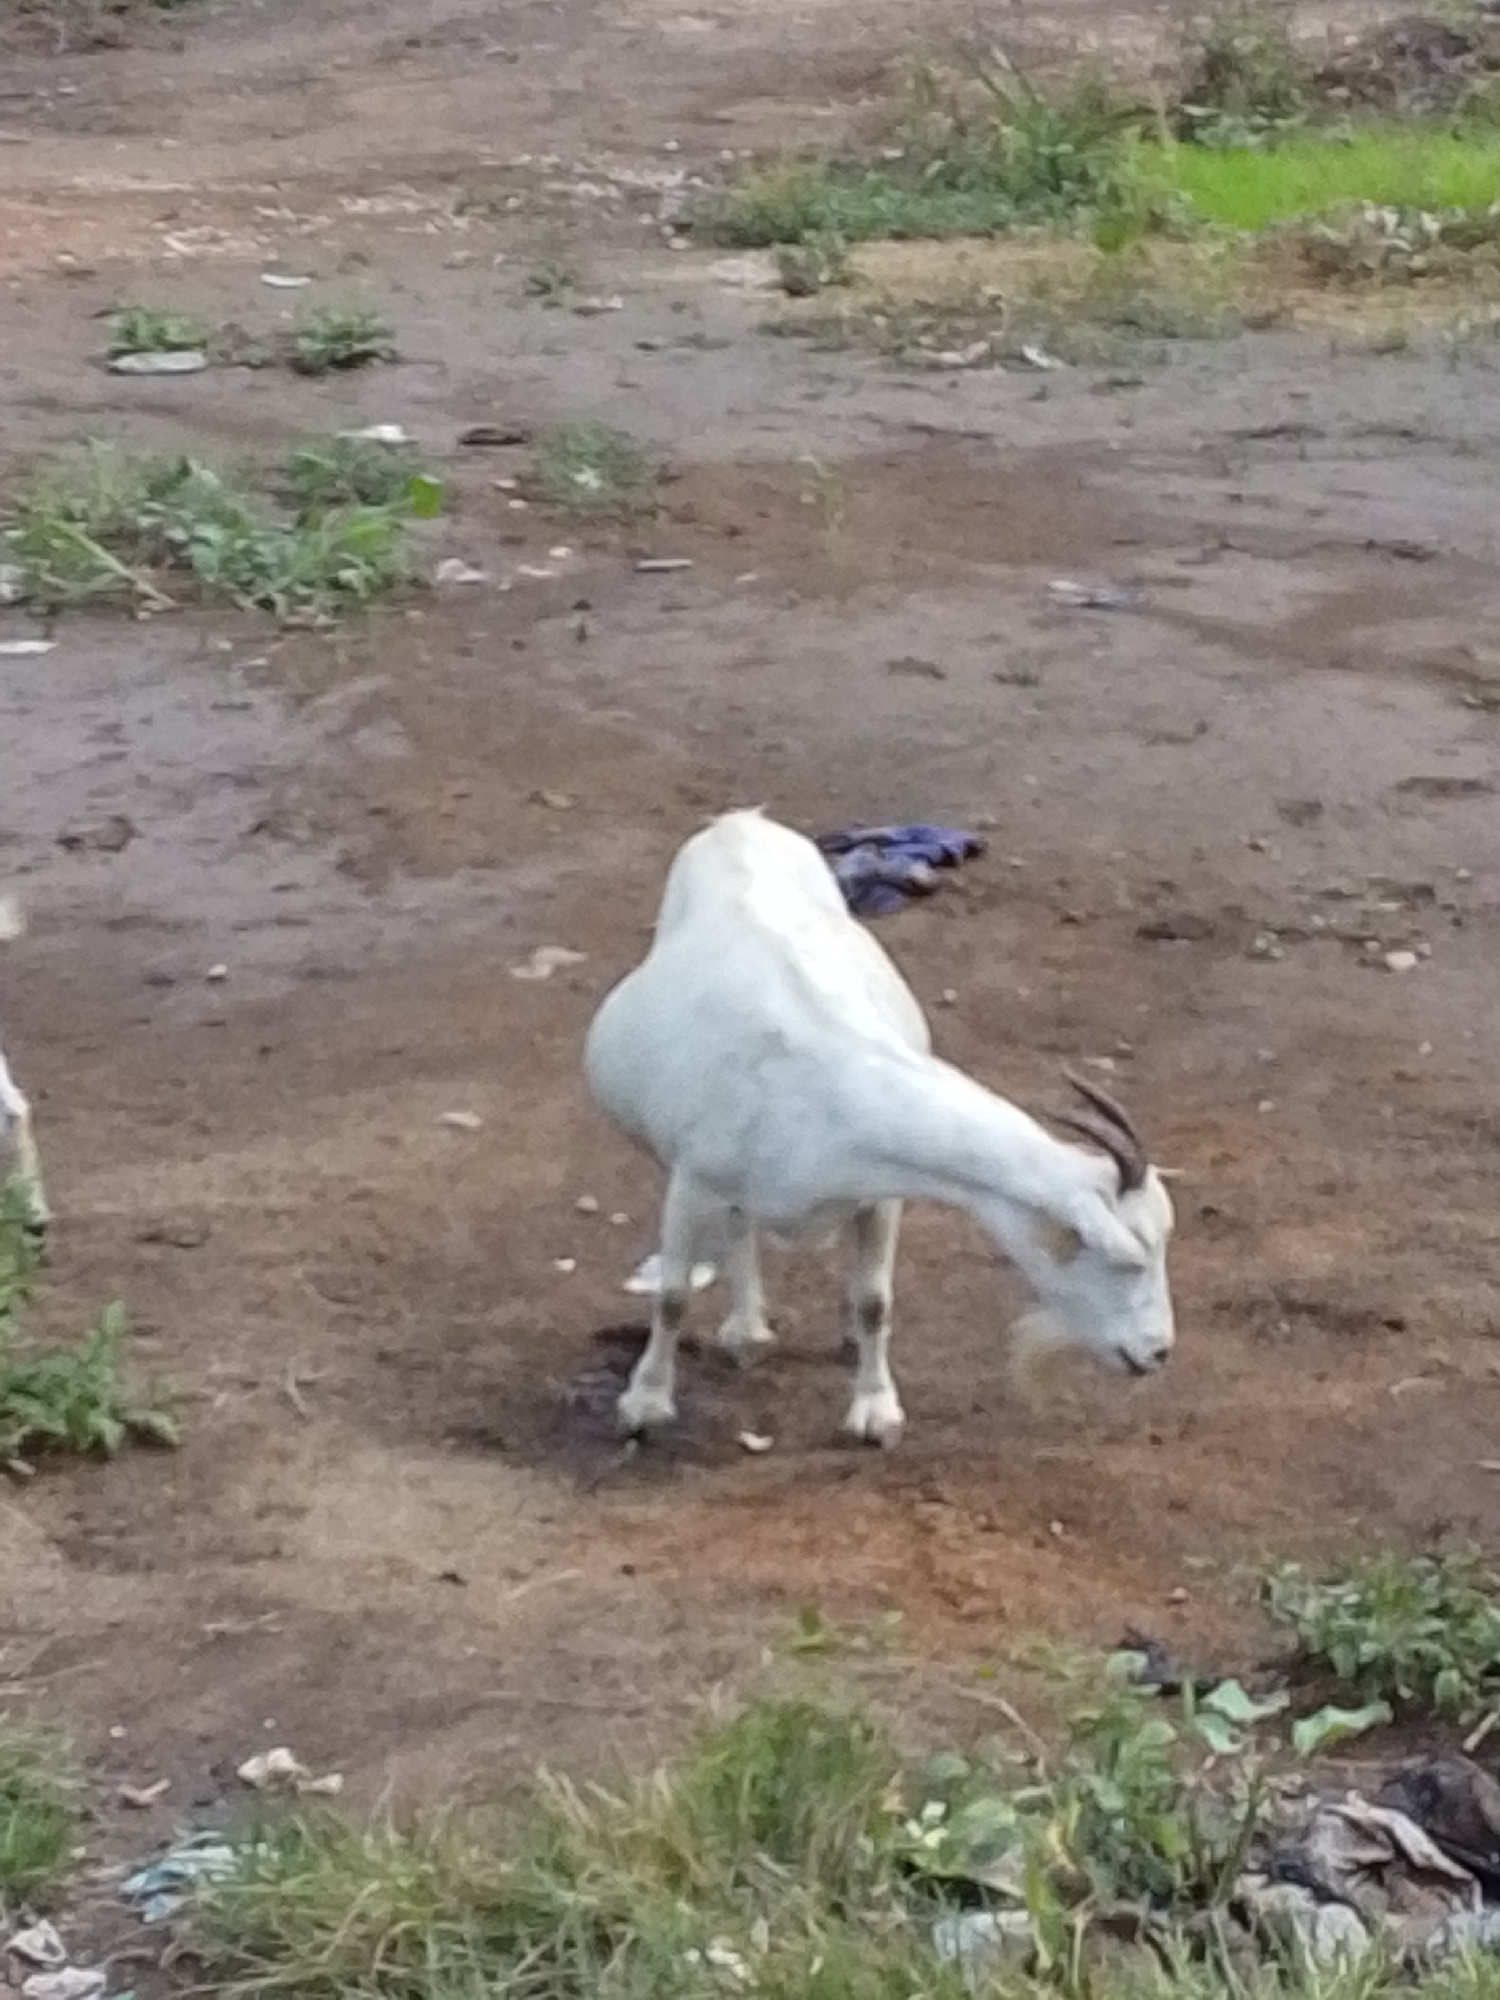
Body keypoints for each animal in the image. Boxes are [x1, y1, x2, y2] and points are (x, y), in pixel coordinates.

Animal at [584, 809, 1176, 1446]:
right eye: (1128, 1259)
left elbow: (874, 1301)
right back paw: (745, 1330)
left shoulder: (880, 1195)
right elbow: (671, 1297)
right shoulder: (692, 1183)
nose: (1158, 1353)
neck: (821, 1085)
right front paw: (644, 1403)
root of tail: (742, 823)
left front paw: (875, 1410)